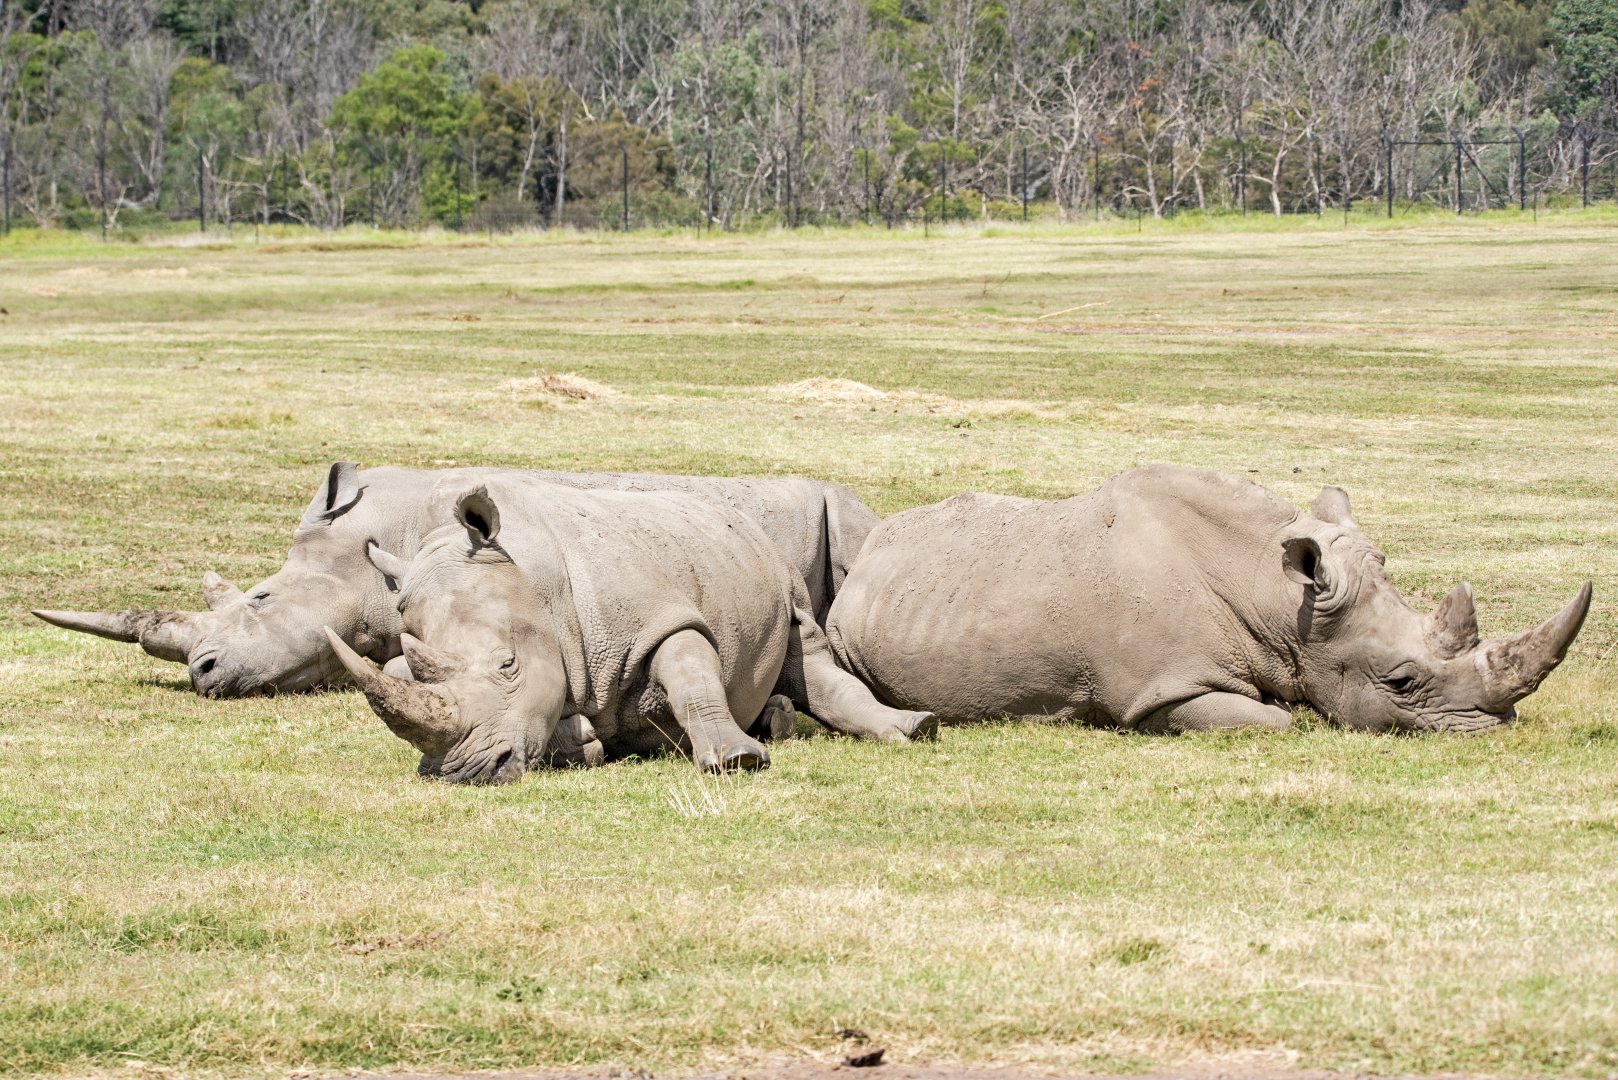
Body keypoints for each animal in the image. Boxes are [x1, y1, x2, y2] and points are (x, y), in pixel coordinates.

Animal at [326, 475, 893, 780]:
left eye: (509, 665)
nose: (464, 771)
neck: (533, 579)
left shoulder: (660, 616)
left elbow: (693, 676)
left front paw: (736, 761)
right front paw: (585, 740)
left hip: (777, 564)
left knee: (805, 650)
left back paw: (898, 730)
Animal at [826, 464, 1591, 733]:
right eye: (1401, 683)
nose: (1497, 729)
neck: (1278, 599)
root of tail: (872, 548)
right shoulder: (1163, 687)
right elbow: (1272, 722)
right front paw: (1291, 712)